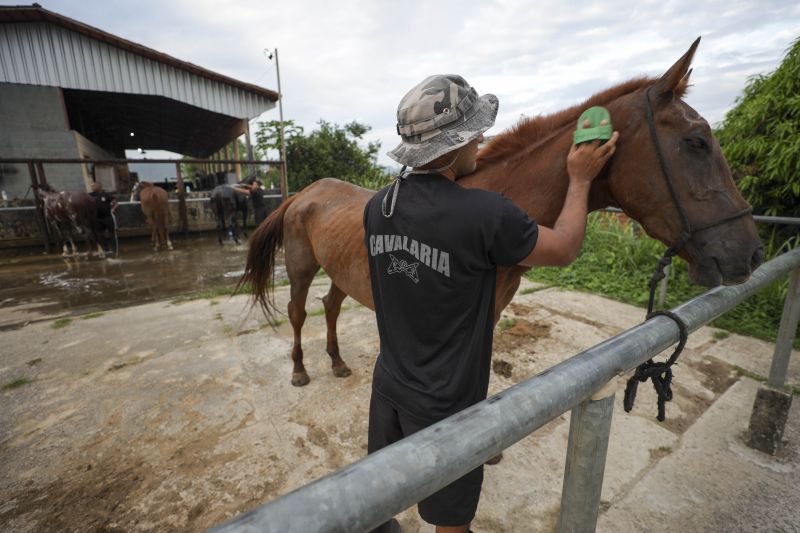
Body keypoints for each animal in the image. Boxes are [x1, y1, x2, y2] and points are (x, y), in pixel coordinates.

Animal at [239, 38, 764, 386]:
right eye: (696, 142)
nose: (752, 255)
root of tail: (303, 193)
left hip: (339, 269)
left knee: (330, 306)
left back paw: (336, 362)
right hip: (302, 268)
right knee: (299, 312)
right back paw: (301, 370)